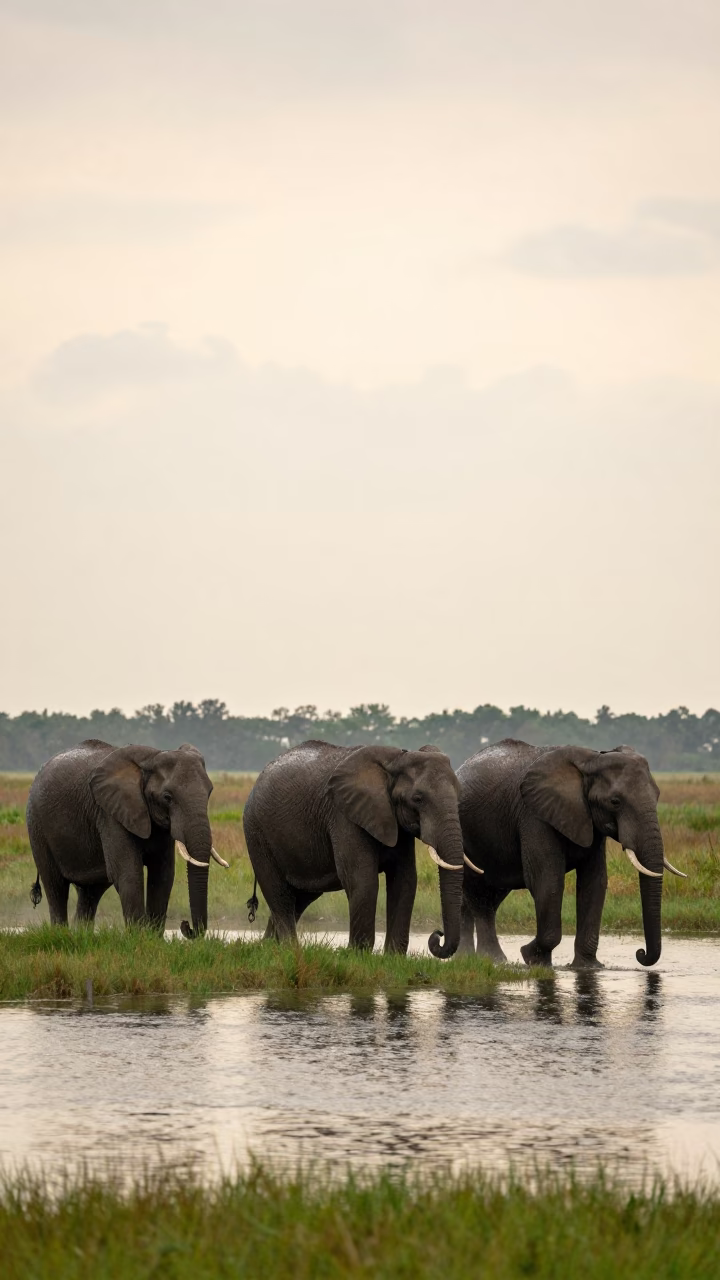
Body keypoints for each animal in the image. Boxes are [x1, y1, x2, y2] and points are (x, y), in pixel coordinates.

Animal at [26, 739, 228, 934]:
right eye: (167, 797)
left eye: (209, 792)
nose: (186, 926)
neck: (151, 759)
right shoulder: (110, 813)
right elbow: (129, 873)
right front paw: (138, 938)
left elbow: (162, 875)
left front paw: (153, 939)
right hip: (36, 825)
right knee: (55, 886)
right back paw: (60, 933)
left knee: (90, 892)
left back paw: (81, 935)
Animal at [243, 740, 472, 955]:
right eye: (418, 798)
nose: (437, 935)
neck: (395, 760)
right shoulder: (344, 816)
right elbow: (363, 880)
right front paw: (357, 954)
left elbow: (404, 879)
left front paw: (393, 957)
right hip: (256, 833)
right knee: (279, 895)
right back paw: (290, 949)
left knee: (300, 898)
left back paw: (269, 947)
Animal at [457, 739, 685, 969]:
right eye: (615, 801)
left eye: (658, 796)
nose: (640, 953)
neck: (592, 760)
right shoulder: (534, 814)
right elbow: (547, 879)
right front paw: (532, 958)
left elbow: (594, 882)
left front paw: (588, 967)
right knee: (478, 896)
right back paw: (491, 959)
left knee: (490, 895)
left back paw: (474, 957)